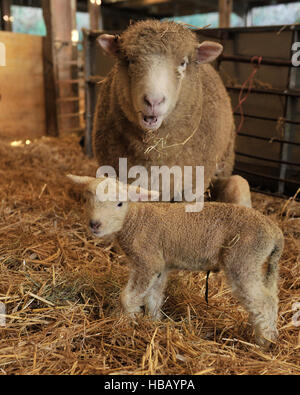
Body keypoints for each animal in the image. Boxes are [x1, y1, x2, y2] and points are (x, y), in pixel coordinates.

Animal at [67, 175, 284, 348]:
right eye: (87, 200)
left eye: (120, 204)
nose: (95, 224)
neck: (135, 221)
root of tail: (275, 232)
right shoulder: (160, 267)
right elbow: (154, 296)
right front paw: (153, 321)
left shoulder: (148, 262)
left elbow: (127, 297)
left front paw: (126, 321)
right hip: (259, 264)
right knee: (272, 297)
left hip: (243, 260)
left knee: (263, 301)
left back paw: (264, 341)